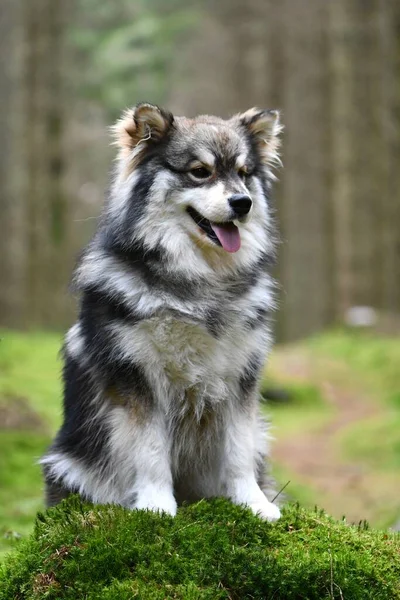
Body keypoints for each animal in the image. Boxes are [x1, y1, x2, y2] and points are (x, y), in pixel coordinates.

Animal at [40, 103, 282, 520]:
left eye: (244, 173)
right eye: (200, 171)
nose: (242, 203)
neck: (198, 282)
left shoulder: (241, 378)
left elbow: (239, 450)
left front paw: (253, 503)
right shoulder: (139, 377)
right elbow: (150, 451)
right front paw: (155, 507)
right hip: (70, 465)